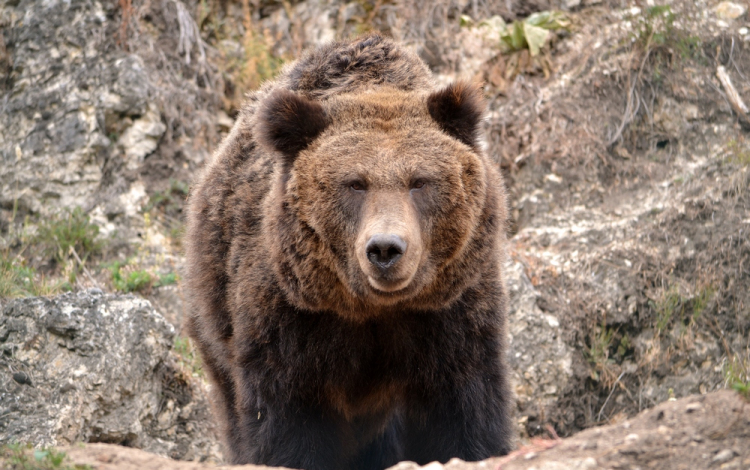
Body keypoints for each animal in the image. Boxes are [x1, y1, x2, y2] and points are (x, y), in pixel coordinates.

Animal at [187, 34, 516, 470]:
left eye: (420, 181)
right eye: (355, 183)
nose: (385, 249)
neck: (372, 309)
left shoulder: (451, 313)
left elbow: (464, 409)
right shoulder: (290, 319)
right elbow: (285, 419)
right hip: (214, 314)